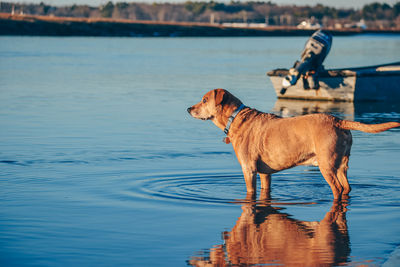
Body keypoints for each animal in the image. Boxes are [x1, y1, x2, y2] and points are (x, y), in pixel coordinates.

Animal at [188, 89, 400, 200]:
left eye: (204, 100)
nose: (188, 108)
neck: (235, 118)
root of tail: (337, 120)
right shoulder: (265, 172)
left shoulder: (249, 169)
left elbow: (250, 191)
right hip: (342, 164)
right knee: (347, 187)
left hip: (326, 165)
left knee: (337, 189)